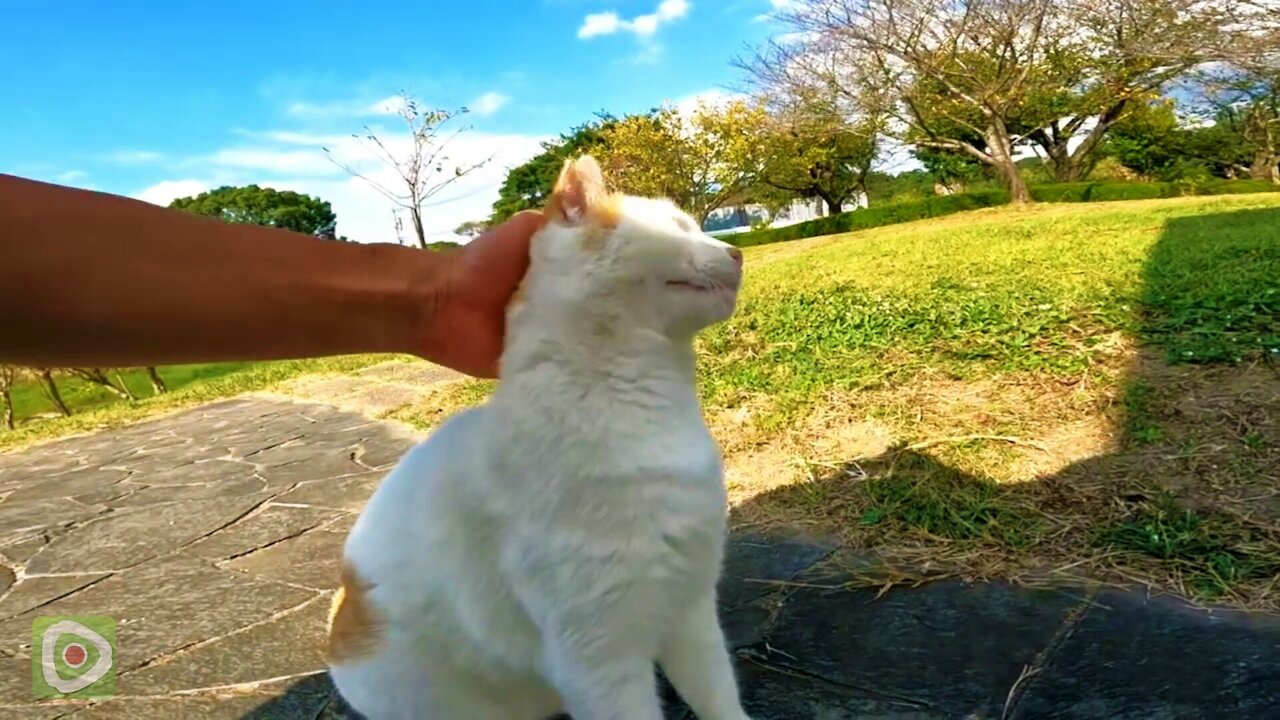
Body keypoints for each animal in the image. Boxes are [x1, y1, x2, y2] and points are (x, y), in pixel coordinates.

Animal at [325, 152, 752, 717]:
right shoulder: (599, 663)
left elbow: (721, 701)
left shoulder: (691, 611)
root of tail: (338, 623)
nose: (736, 250)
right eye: (680, 227)